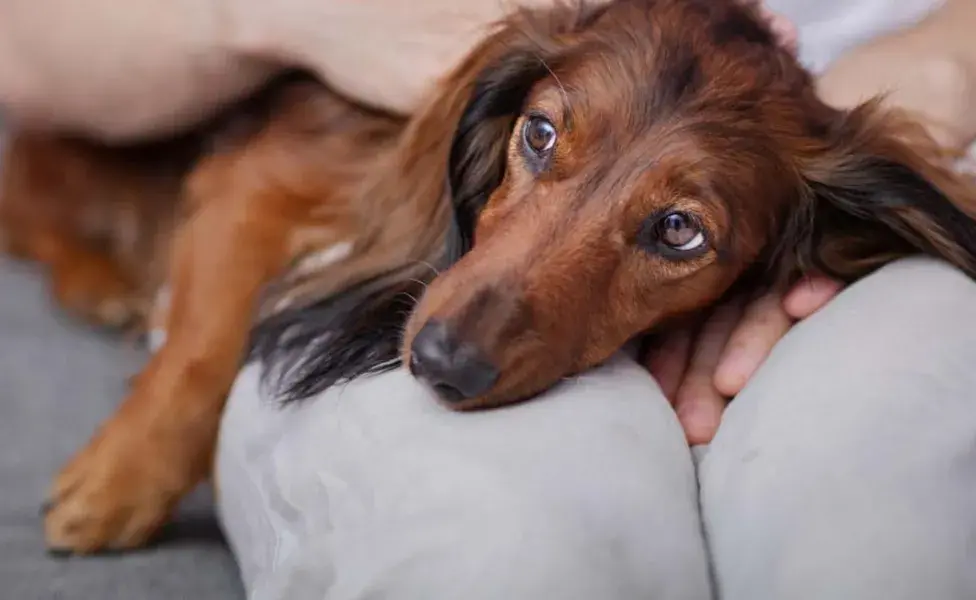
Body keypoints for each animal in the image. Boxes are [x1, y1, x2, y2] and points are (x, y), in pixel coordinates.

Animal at [1, 0, 976, 556]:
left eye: (678, 230)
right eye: (538, 134)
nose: (441, 363)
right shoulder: (261, 178)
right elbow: (202, 347)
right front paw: (119, 482)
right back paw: (100, 282)